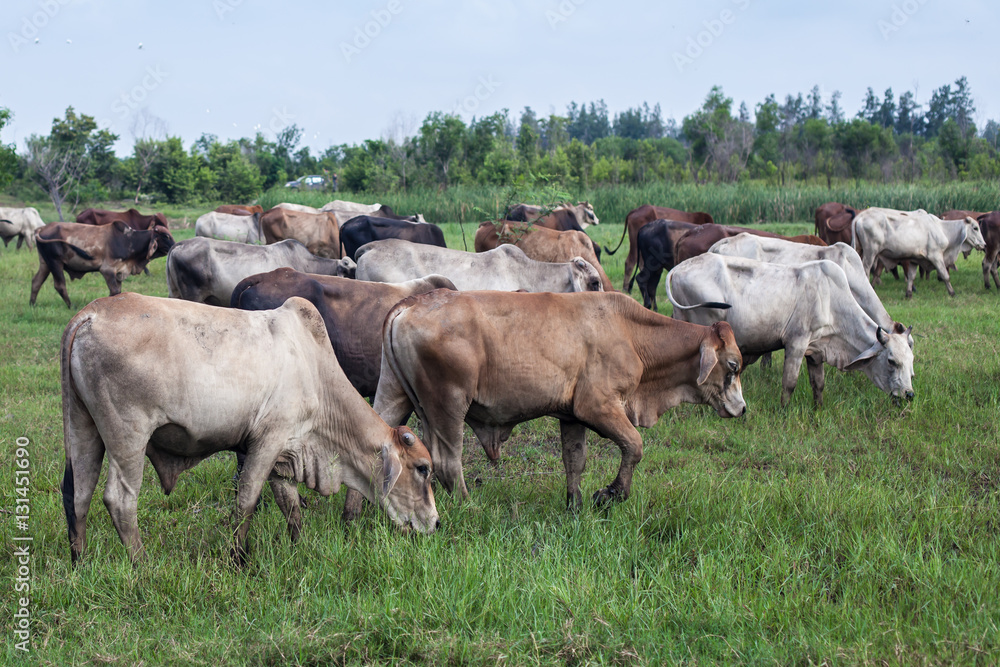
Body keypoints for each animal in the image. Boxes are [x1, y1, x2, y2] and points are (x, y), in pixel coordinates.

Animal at [30, 221, 174, 308]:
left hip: (45, 263)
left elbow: (118, 292)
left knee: (36, 281)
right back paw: (71, 306)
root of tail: (42, 228)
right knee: (60, 285)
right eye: (166, 236)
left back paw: (32, 304)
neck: (129, 240)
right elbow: (115, 291)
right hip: (55, 262)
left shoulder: (119, 272)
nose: (174, 245)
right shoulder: (107, 270)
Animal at [60, 293, 439, 565]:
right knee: (120, 500)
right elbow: (247, 501)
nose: (435, 523)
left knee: (79, 493)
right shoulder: (268, 441)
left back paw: (81, 561)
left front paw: (298, 546)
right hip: (128, 437)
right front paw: (237, 559)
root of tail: (90, 314)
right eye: (423, 468)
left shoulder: (285, 455)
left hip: (82, 428)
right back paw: (141, 564)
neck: (315, 371)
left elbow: (290, 506)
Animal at [373, 290, 745, 503]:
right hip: (447, 406)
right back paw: (467, 505)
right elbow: (634, 446)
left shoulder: (572, 417)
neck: (631, 332)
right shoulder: (598, 407)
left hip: (393, 396)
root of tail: (411, 302)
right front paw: (613, 493)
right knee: (447, 462)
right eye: (733, 365)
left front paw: (575, 504)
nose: (742, 409)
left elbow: (575, 461)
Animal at [666, 254, 915, 408]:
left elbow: (818, 385)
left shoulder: (816, 351)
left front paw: (818, 411)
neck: (830, 298)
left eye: (911, 360)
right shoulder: (796, 343)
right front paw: (783, 411)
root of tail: (677, 269)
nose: (909, 394)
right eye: (891, 361)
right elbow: (789, 383)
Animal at [851, 208, 987, 297]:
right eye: (975, 228)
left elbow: (911, 276)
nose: (984, 244)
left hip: (859, 249)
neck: (942, 229)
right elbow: (945, 276)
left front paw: (909, 293)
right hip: (870, 252)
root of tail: (860, 216)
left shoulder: (914, 260)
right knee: (865, 269)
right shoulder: (936, 256)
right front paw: (952, 293)